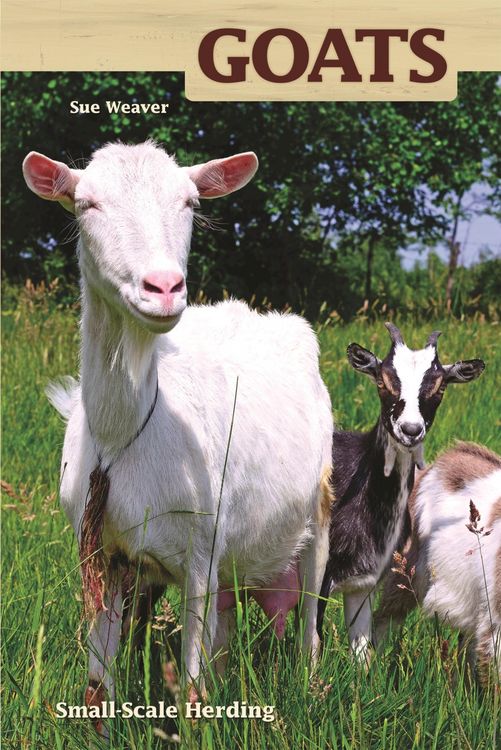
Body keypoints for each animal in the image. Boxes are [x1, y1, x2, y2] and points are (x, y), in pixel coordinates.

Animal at [23, 142, 333, 726]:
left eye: (190, 202)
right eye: (86, 203)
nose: (164, 288)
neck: (126, 435)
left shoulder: (199, 554)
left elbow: (190, 691)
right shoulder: (100, 552)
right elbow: (98, 688)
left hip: (319, 509)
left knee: (308, 614)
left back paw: (311, 684)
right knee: (226, 626)